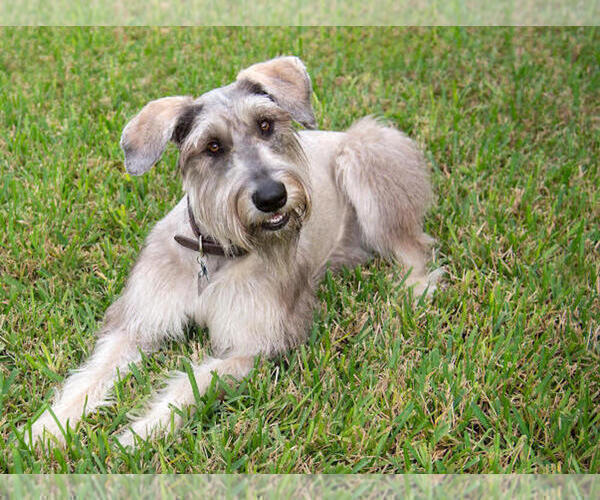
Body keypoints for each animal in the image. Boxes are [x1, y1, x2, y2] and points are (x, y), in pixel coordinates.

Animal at [25, 56, 440, 448]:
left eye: (266, 125)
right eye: (212, 147)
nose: (272, 197)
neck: (215, 253)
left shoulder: (250, 346)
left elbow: (189, 385)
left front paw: (139, 434)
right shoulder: (139, 323)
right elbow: (90, 374)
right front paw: (45, 429)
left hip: (365, 162)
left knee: (415, 247)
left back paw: (415, 291)